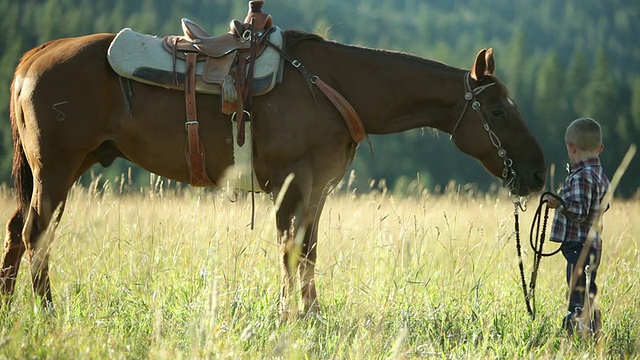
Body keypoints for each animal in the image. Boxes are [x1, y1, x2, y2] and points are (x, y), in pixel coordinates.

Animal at [0, 28, 544, 316]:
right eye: (498, 111)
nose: (538, 172)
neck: (333, 86)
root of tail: (32, 59)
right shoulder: (291, 182)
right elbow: (291, 249)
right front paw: (293, 316)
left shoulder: (316, 189)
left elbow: (308, 250)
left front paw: (310, 314)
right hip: (57, 169)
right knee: (35, 234)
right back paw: (48, 312)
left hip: (59, 171)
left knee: (17, 231)